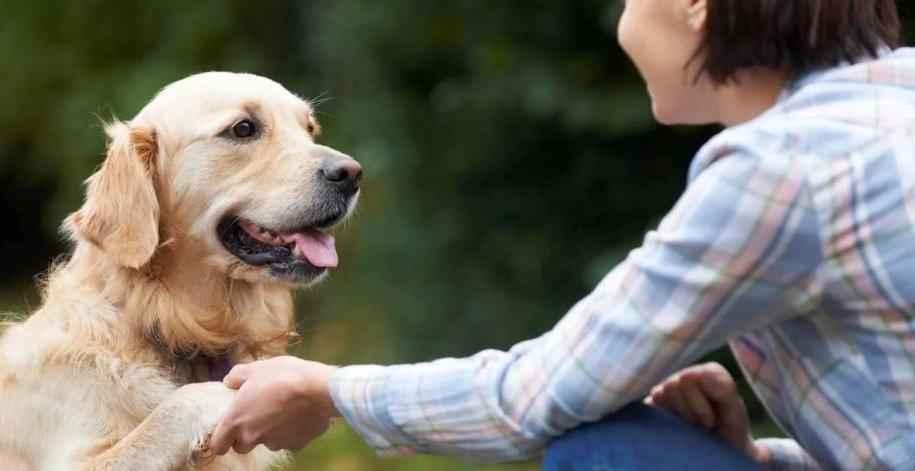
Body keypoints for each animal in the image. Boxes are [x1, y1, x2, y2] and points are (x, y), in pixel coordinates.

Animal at [0, 72, 362, 470]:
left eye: (310, 129)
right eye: (244, 128)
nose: (352, 174)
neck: (163, 320)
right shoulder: (75, 459)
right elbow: (182, 401)